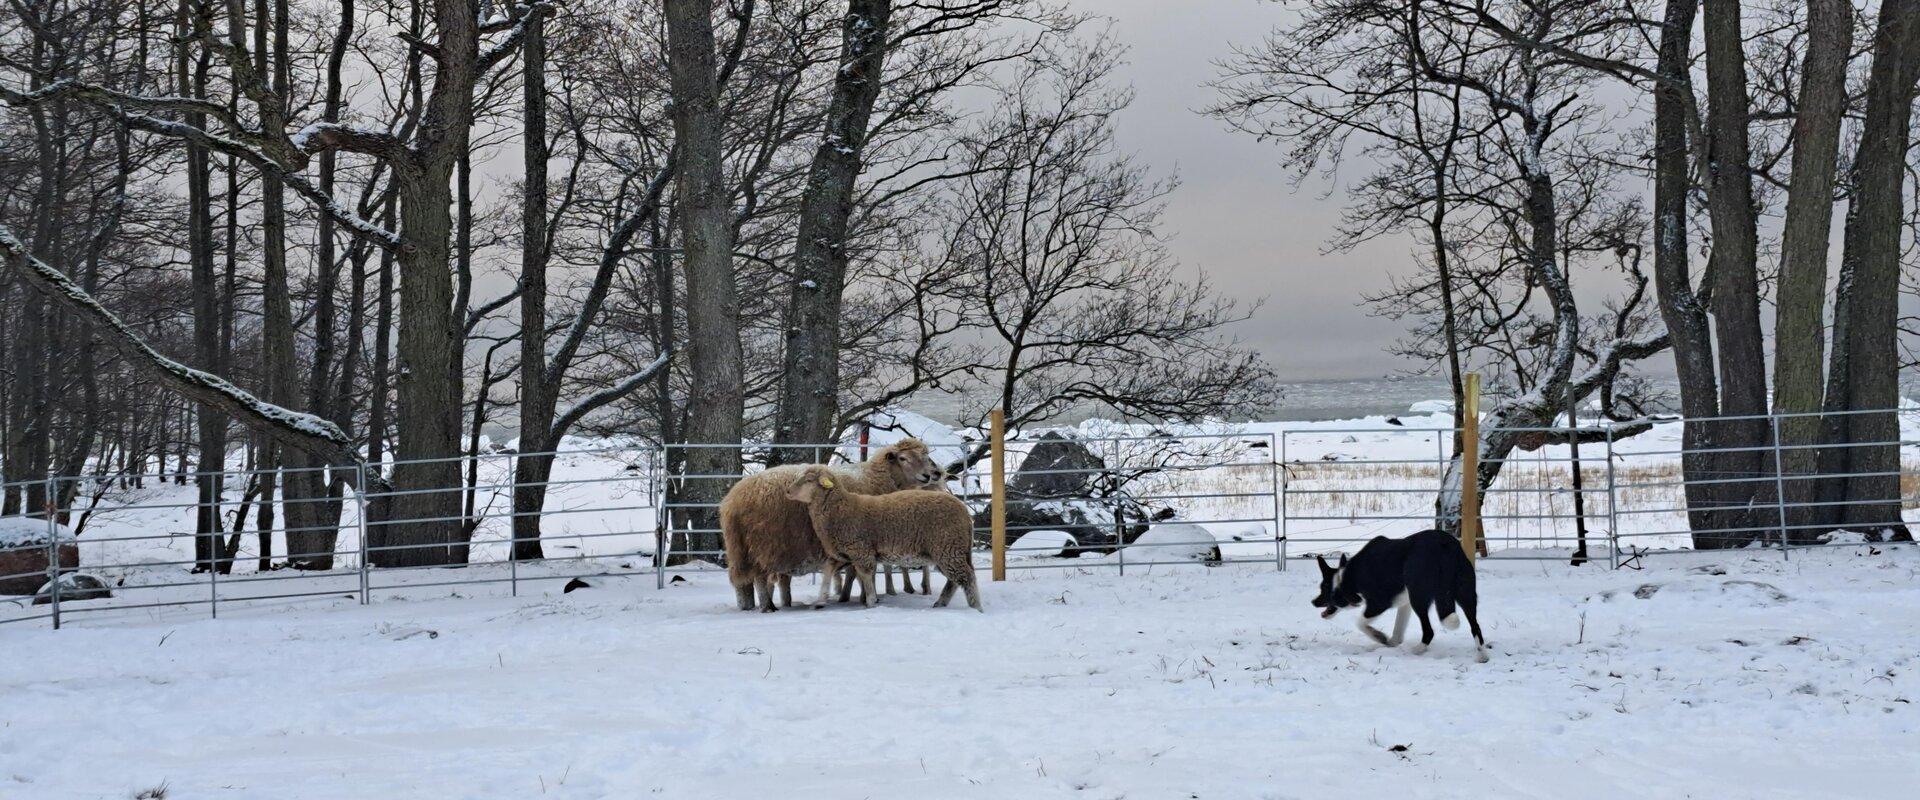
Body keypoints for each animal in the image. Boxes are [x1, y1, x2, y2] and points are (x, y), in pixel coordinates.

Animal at [718, 437, 940, 610]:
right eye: (903, 458)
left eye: (924, 457)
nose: (928, 476)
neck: (877, 478)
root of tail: (734, 500)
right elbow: (860, 573)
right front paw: (865, 598)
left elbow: (852, 573)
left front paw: (846, 597)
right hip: (766, 545)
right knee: (761, 580)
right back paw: (767, 607)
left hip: (740, 549)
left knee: (744, 585)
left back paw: (750, 606)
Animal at [783, 460, 983, 610]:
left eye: (809, 480)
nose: (788, 491)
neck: (840, 508)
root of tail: (965, 512)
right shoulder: (842, 553)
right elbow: (828, 571)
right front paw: (821, 600)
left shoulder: (861, 551)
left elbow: (866, 576)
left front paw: (871, 602)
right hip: (947, 550)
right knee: (955, 580)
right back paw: (941, 603)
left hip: (948, 547)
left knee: (966, 576)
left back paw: (976, 608)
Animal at [1313, 529, 1489, 659]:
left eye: (1323, 588)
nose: (1313, 602)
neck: (1345, 578)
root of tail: (1445, 547)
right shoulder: (1404, 603)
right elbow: (1397, 632)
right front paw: (1390, 643)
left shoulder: (1379, 603)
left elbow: (1360, 623)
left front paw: (1379, 637)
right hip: (1466, 594)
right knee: (1476, 627)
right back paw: (1482, 656)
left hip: (1419, 597)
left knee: (1429, 631)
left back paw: (1416, 651)